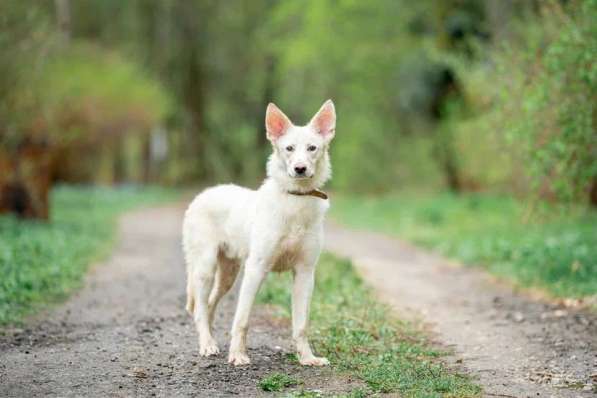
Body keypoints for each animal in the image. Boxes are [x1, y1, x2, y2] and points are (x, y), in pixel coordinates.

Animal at [182, 100, 336, 366]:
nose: (300, 169)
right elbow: (242, 319)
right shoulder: (256, 268)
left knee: (210, 305)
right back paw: (207, 345)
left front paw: (307, 358)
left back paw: (210, 340)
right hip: (205, 268)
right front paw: (238, 355)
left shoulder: (305, 273)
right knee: (200, 308)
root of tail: (202, 195)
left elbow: (301, 325)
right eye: (289, 148)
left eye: (312, 148)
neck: (295, 200)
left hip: (229, 273)